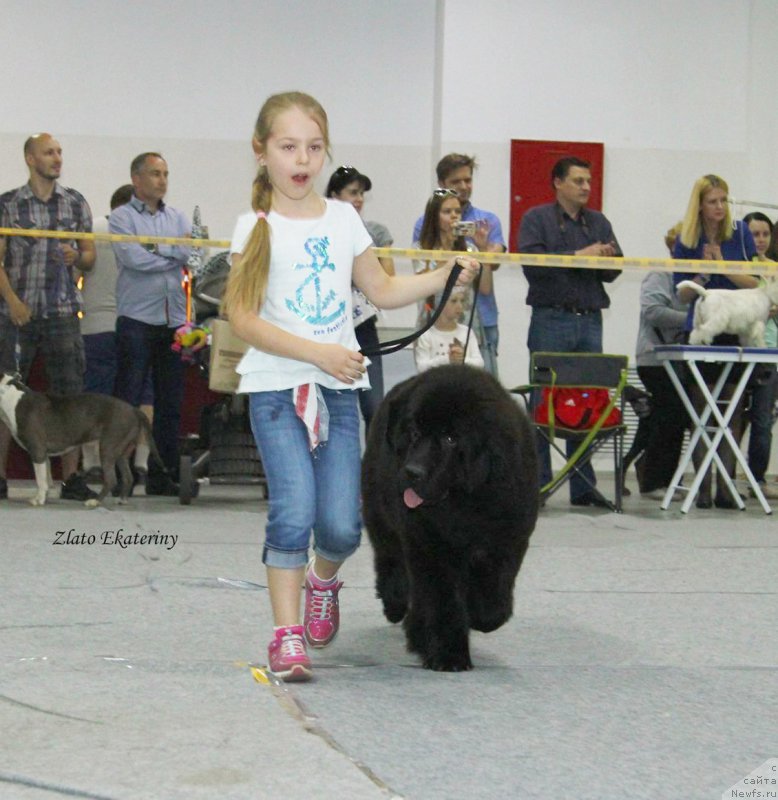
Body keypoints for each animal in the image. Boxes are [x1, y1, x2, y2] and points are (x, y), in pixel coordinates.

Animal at [360, 362, 536, 668]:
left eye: (450, 438)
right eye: (415, 433)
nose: (411, 472)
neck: (465, 502)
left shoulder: (506, 543)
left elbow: (493, 602)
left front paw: (479, 618)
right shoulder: (431, 545)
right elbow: (442, 601)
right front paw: (449, 655)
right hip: (381, 516)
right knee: (390, 560)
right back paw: (396, 606)